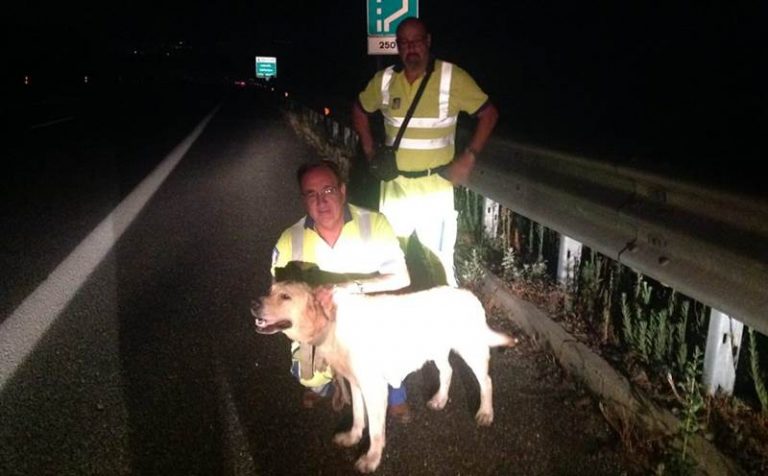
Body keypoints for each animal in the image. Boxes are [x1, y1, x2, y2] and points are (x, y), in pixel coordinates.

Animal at [254, 280, 516, 474]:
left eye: (285, 296)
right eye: (270, 290)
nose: (254, 303)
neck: (331, 322)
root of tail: (469, 295)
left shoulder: (374, 388)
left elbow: (376, 431)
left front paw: (371, 459)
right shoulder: (355, 383)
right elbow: (358, 416)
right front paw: (352, 437)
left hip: (471, 349)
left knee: (486, 381)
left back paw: (486, 413)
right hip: (435, 349)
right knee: (448, 371)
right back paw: (440, 400)